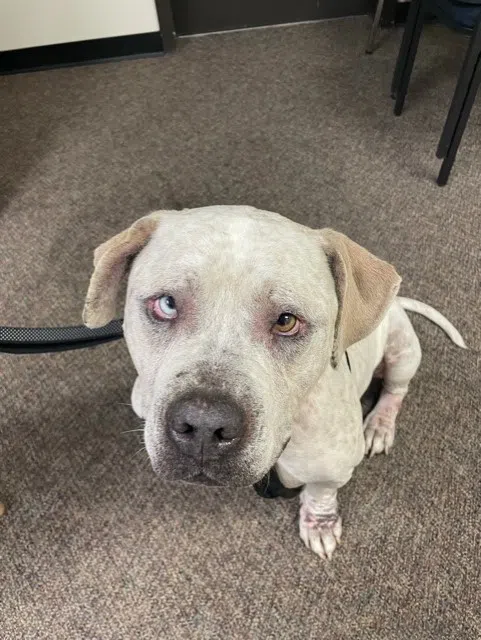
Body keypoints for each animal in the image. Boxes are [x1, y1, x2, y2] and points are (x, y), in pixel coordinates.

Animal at [83, 205, 466, 559]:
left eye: (286, 321)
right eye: (166, 304)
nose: (204, 425)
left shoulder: (335, 466)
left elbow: (321, 492)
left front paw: (320, 522)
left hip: (403, 351)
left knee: (395, 390)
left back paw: (381, 425)